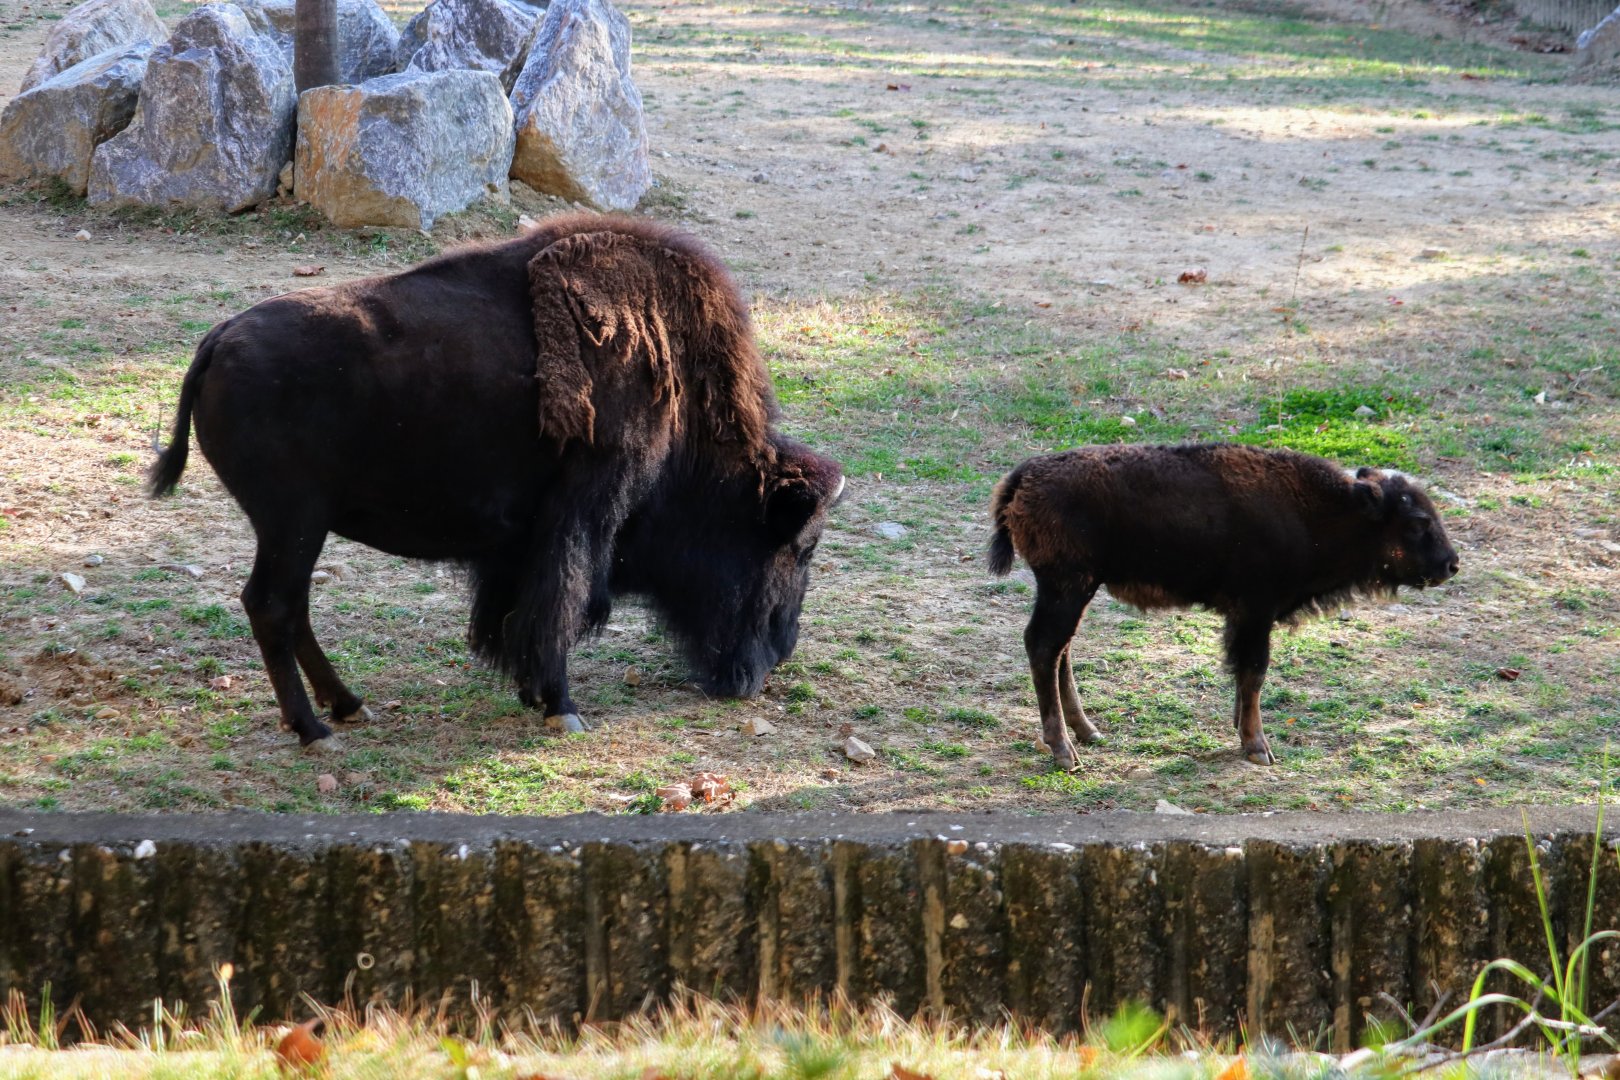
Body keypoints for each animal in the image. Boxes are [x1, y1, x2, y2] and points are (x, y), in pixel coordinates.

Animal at [149, 212, 844, 749]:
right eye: (798, 546)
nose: (777, 654)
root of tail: (218, 341)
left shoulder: (523, 539)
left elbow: (521, 608)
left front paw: (531, 692)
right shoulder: (584, 513)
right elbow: (560, 602)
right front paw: (562, 707)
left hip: (297, 528)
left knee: (291, 609)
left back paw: (348, 706)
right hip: (294, 523)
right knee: (272, 605)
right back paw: (315, 731)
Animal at [987, 443, 1458, 768]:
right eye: (1417, 522)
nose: (1451, 564)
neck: (1327, 510)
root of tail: (1025, 475)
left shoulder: (1245, 617)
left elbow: (1242, 675)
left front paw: (1241, 731)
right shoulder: (1255, 613)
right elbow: (1254, 672)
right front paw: (1258, 748)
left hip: (1074, 591)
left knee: (1060, 651)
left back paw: (1088, 733)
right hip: (1066, 589)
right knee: (1044, 647)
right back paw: (1065, 752)